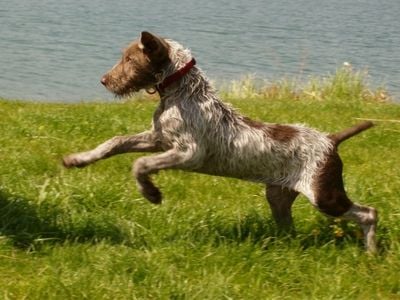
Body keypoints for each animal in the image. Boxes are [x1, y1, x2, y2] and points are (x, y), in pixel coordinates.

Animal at [63, 31, 378, 253]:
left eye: (129, 60)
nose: (104, 80)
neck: (181, 93)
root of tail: (331, 139)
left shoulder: (189, 153)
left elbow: (140, 164)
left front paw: (151, 193)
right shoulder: (158, 139)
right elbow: (115, 142)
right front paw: (78, 159)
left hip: (324, 195)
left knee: (369, 213)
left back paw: (372, 252)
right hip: (278, 196)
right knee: (290, 227)